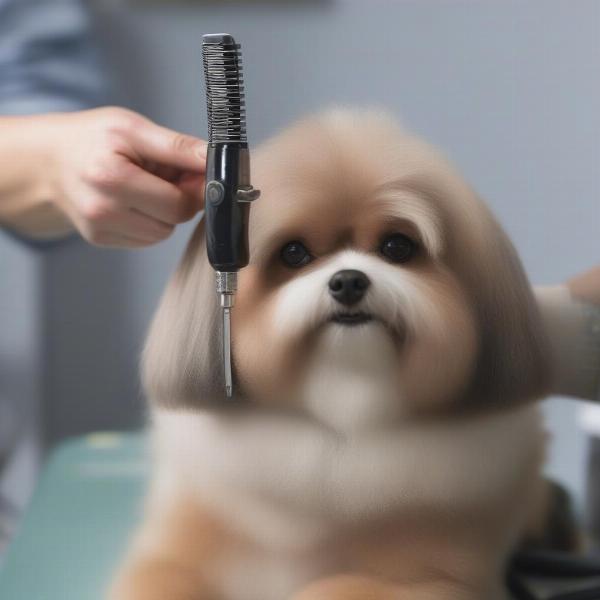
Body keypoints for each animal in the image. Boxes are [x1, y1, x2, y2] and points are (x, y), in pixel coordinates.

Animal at [110, 109, 552, 600]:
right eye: (294, 253)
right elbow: (163, 577)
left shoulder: (441, 578)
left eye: (397, 246)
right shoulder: (179, 549)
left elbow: (342, 586)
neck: (343, 414)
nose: (348, 281)